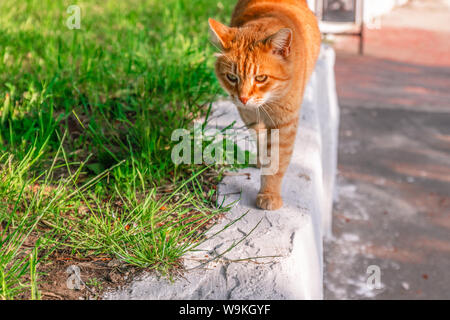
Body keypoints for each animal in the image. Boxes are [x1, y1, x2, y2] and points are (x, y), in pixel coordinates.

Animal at [210, 0, 320, 210]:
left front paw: (269, 194)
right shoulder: (248, 115)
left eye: (261, 78)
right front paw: (262, 160)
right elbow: (260, 139)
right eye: (232, 77)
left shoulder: (284, 125)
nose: (243, 98)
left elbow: (276, 160)